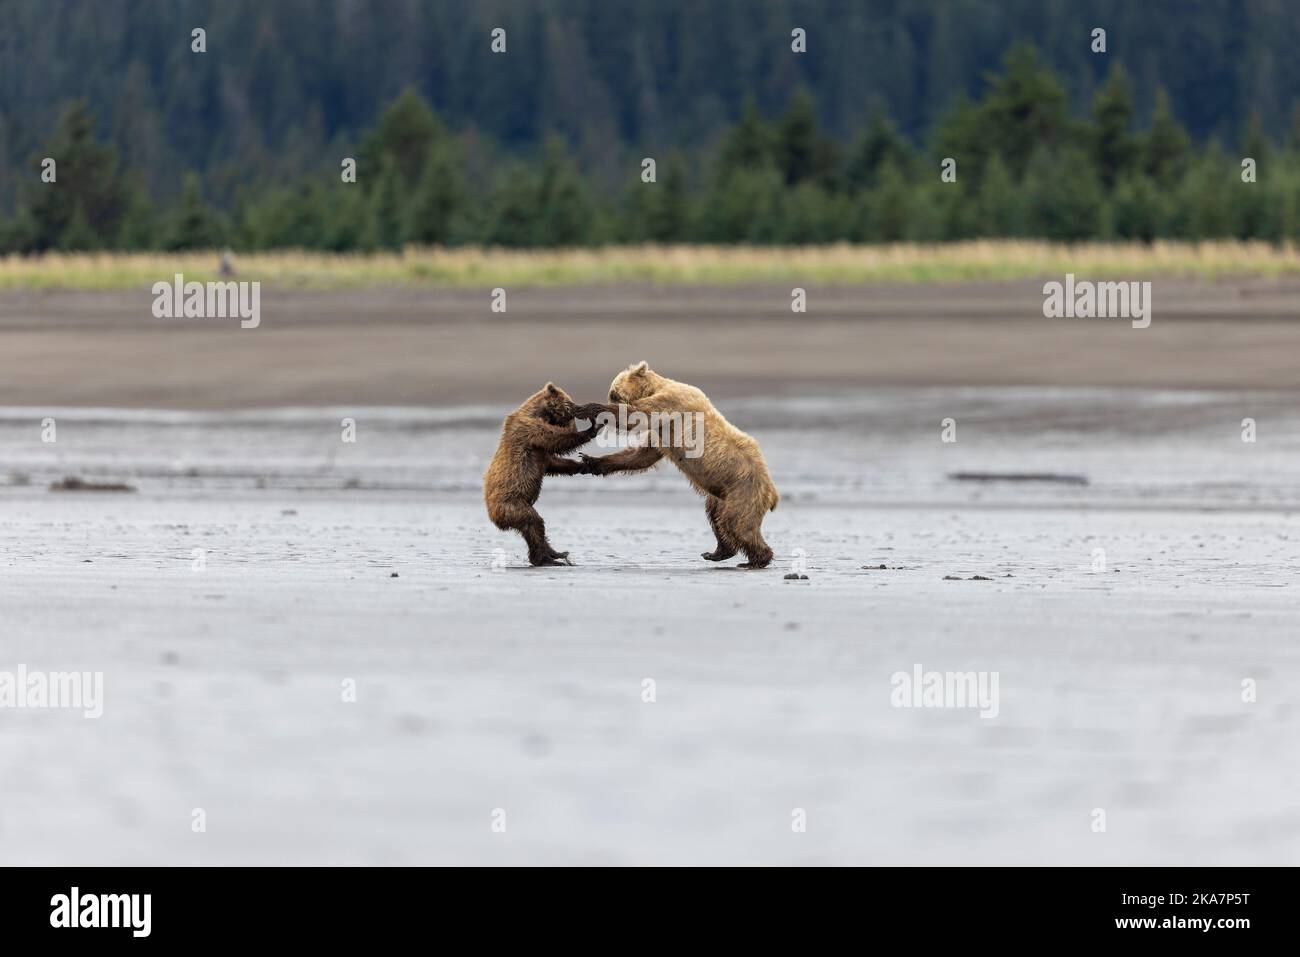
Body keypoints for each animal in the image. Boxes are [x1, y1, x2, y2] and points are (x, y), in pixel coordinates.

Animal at [486, 382, 611, 564]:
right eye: (569, 403)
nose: (579, 409)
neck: (540, 414)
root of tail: (492, 515)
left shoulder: (541, 452)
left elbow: (553, 463)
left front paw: (584, 464)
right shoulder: (530, 430)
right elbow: (556, 439)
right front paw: (592, 428)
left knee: (535, 527)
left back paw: (556, 553)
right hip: (512, 504)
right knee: (533, 523)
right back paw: (544, 558)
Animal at [582, 361, 780, 566]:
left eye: (614, 395)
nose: (610, 401)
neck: (655, 388)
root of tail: (773, 493)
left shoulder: (671, 404)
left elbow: (636, 416)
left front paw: (588, 407)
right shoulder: (659, 431)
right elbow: (640, 456)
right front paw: (590, 461)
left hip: (744, 491)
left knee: (736, 523)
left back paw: (756, 559)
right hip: (723, 495)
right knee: (716, 516)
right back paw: (717, 552)